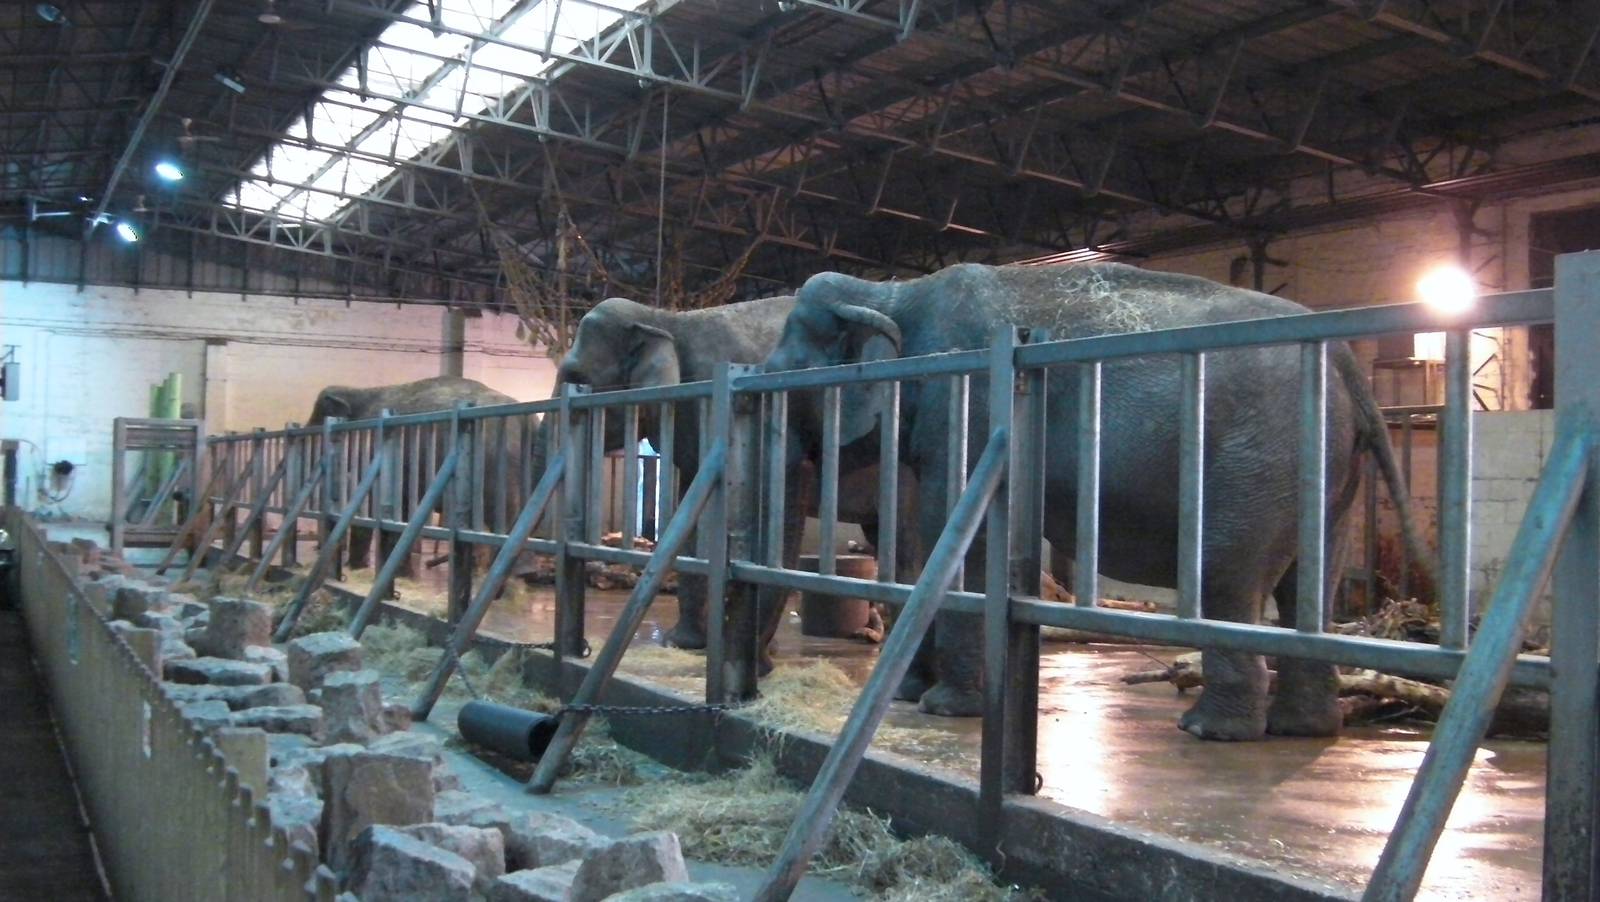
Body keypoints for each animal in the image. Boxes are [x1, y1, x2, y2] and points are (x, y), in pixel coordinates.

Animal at [761, 261, 1429, 741]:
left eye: (788, 371)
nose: (762, 673)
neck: (892, 291)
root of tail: (1349, 367)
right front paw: (912, 695)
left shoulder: (967, 403)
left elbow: (959, 537)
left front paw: (944, 709)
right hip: (1325, 465)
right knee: (1310, 583)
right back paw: (1305, 729)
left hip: (1260, 456)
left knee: (1226, 577)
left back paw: (1210, 731)